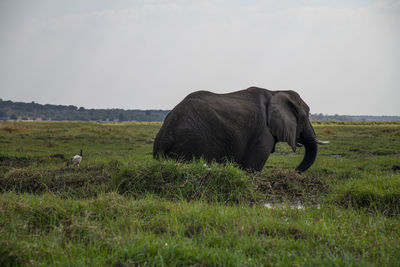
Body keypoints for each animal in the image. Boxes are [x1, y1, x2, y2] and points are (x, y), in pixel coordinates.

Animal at [153, 87, 328, 173]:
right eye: (306, 115)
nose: (293, 171)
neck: (276, 91)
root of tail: (163, 137)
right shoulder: (262, 132)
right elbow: (253, 168)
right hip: (191, 141)